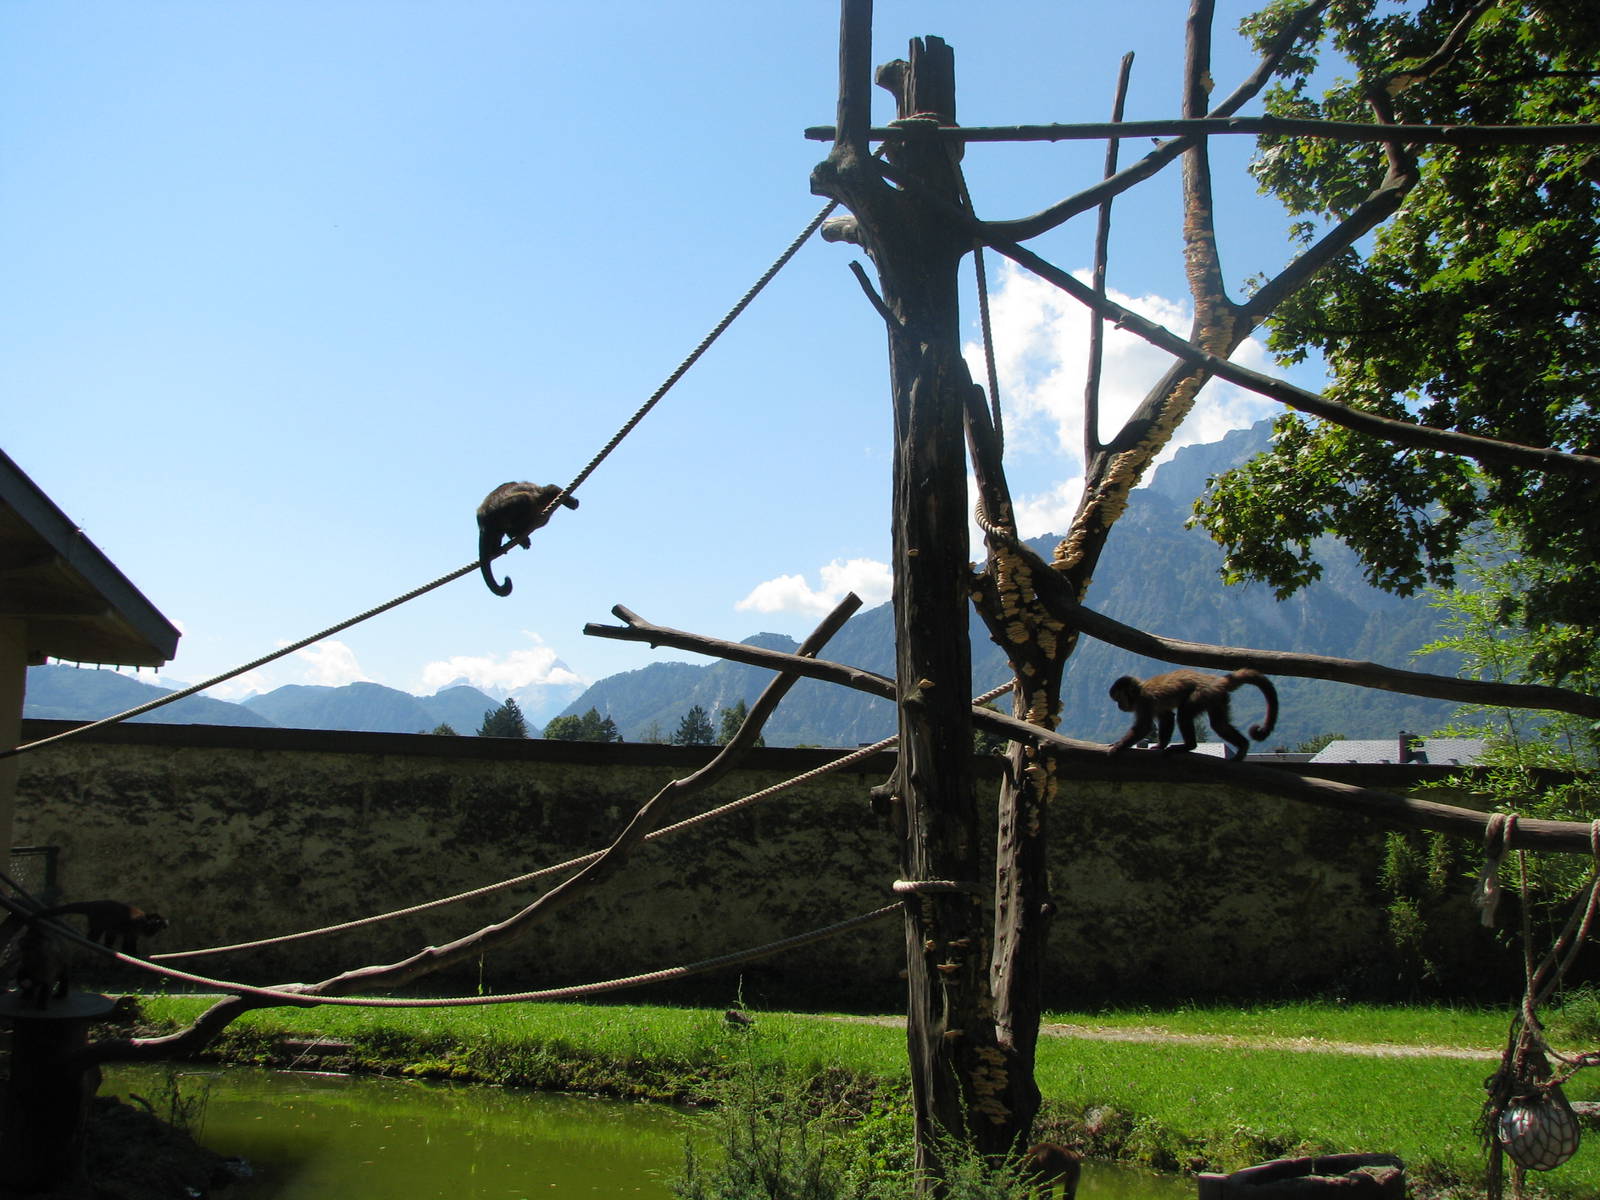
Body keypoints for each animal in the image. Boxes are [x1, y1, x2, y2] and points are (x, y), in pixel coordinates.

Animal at [37, 900, 168, 955]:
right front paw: (132, 953)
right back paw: (92, 942)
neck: (145, 921)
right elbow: (127, 942)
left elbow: (129, 940)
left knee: (111, 932)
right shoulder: (135, 926)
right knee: (98, 931)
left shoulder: (136, 931)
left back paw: (106, 947)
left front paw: (134, 952)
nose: (151, 933)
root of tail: (92, 904)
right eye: (154, 927)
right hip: (97, 919)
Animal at [1106, 668, 1278, 761]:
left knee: (1185, 714)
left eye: (1118, 699)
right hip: (1217, 698)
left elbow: (1144, 727)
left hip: (1202, 694)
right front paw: (1160, 745)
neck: (1139, 691)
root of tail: (1214, 681)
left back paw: (1189, 746)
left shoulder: (1144, 701)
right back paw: (1243, 746)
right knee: (1219, 725)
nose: (1119, 706)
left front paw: (1118, 746)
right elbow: (1167, 717)